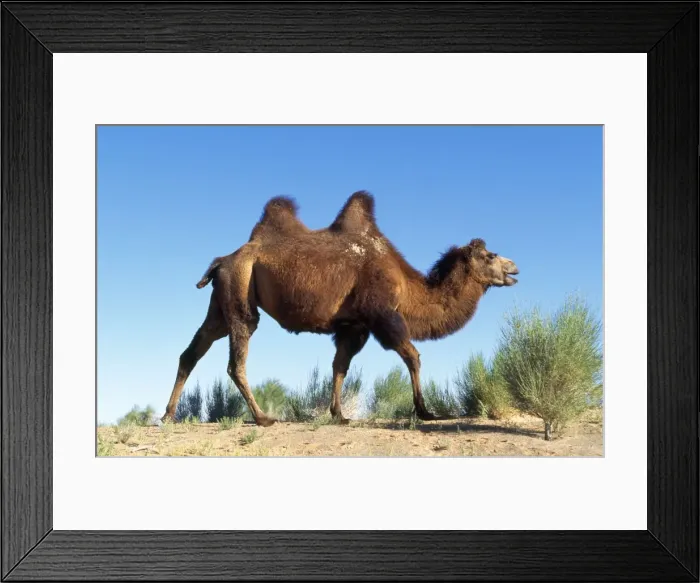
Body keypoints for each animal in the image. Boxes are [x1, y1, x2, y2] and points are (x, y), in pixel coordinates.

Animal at [162, 191, 519, 426]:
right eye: (490, 256)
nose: (514, 267)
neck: (408, 287)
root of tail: (222, 260)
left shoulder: (353, 326)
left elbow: (339, 367)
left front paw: (339, 415)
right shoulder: (383, 315)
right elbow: (412, 356)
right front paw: (425, 412)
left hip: (222, 301)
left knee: (192, 351)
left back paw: (168, 415)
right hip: (240, 291)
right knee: (236, 358)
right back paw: (262, 417)